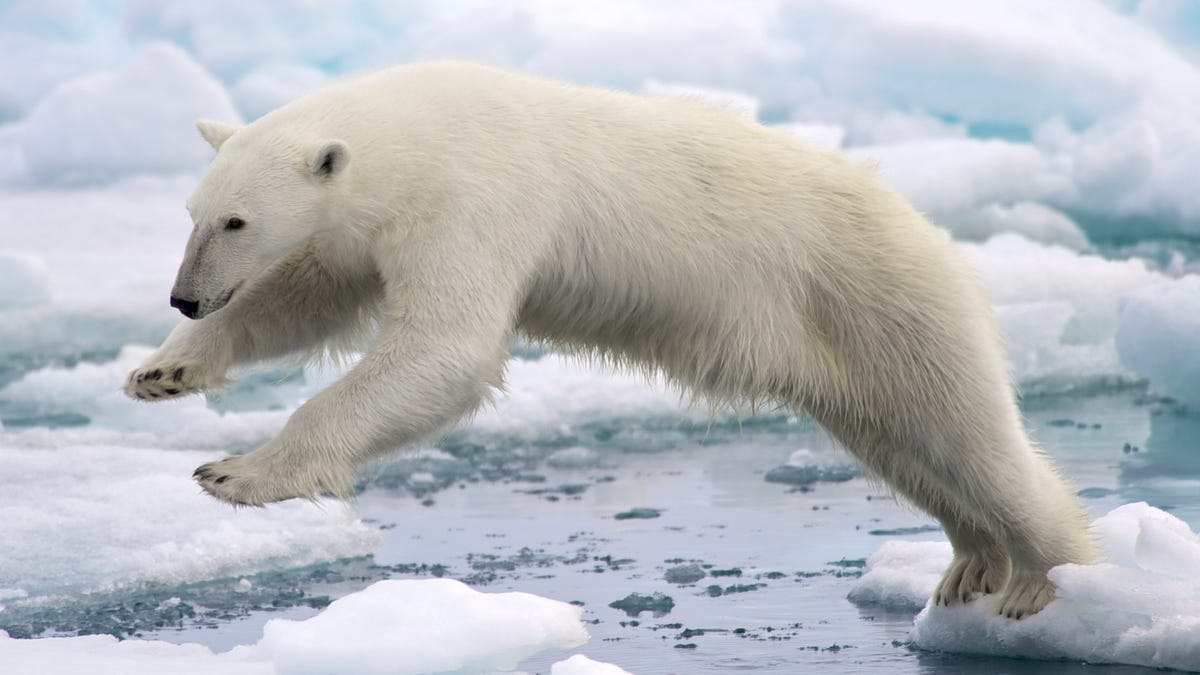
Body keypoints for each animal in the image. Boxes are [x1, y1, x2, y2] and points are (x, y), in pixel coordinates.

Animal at [124, 61, 1096, 619]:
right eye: (193, 212)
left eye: (237, 219)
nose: (184, 295)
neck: (418, 129)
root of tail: (926, 229)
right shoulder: (370, 225)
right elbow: (309, 296)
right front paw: (163, 370)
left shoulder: (476, 197)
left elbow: (445, 347)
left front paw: (236, 472)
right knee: (901, 443)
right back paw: (970, 562)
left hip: (878, 295)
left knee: (966, 432)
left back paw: (1044, 579)